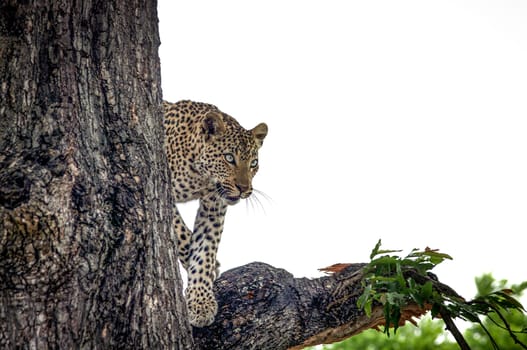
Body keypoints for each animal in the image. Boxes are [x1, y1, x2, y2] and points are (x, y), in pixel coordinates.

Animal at [163, 100, 268, 326]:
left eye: (253, 163)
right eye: (229, 158)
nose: (244, 189)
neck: (200, 177)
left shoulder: (214, 206)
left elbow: (205, 249)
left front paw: (200, 301)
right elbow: (180, 232)